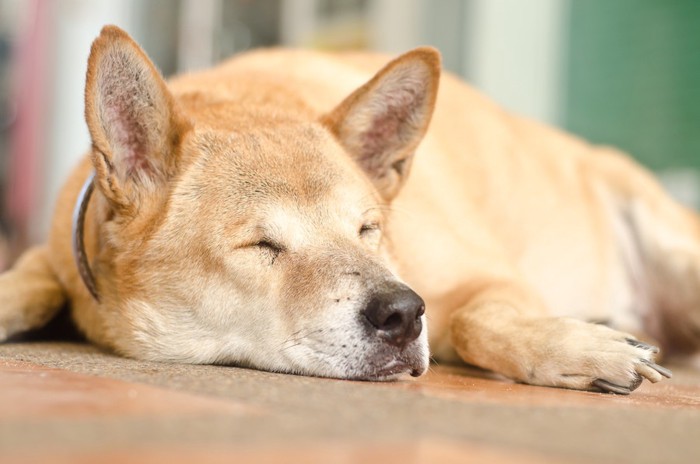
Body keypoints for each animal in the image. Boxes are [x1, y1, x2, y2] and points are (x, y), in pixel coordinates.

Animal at [0, 25, 692, 394]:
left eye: (368, 229)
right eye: (262, 246)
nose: (405, 313)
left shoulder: (492, 278)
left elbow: (475, 322)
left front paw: (585, 349)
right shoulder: (54, 254)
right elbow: (33, 282)